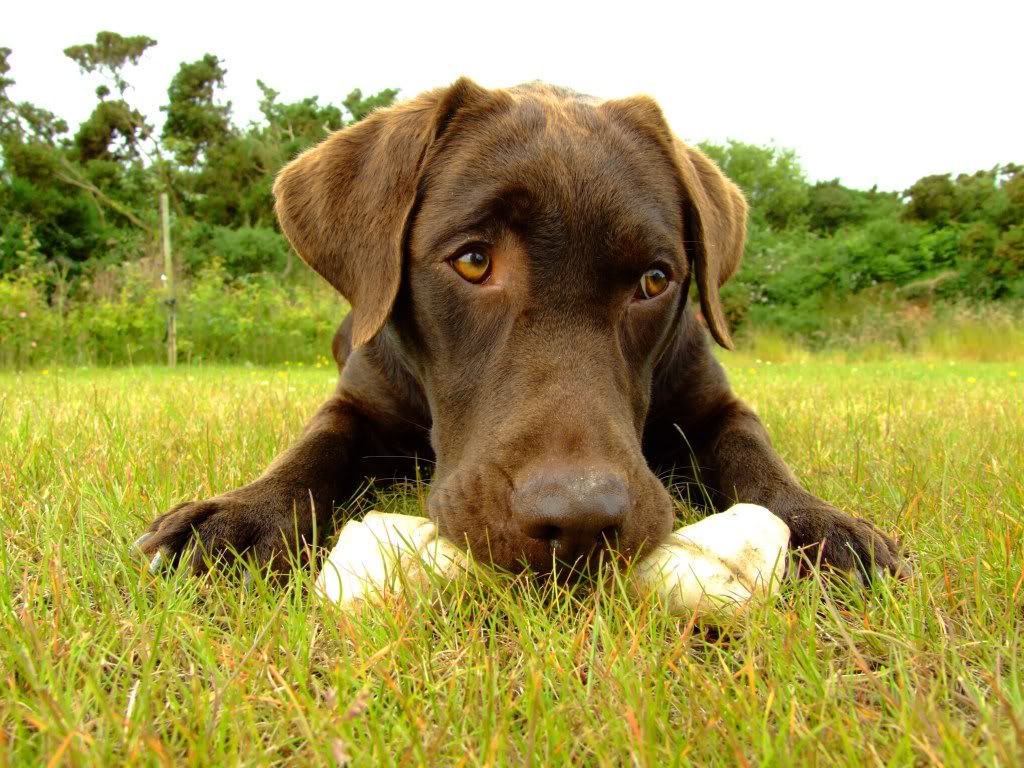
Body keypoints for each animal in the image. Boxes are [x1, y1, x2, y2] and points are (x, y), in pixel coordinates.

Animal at [138, 79, 905, 581]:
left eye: (654, 280)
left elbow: (754, 452)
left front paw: (819, 523)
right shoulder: (357, 399)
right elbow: (311, 450)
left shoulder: (713, 401)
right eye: (474, 261)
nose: (581, 520)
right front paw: (242, 516)